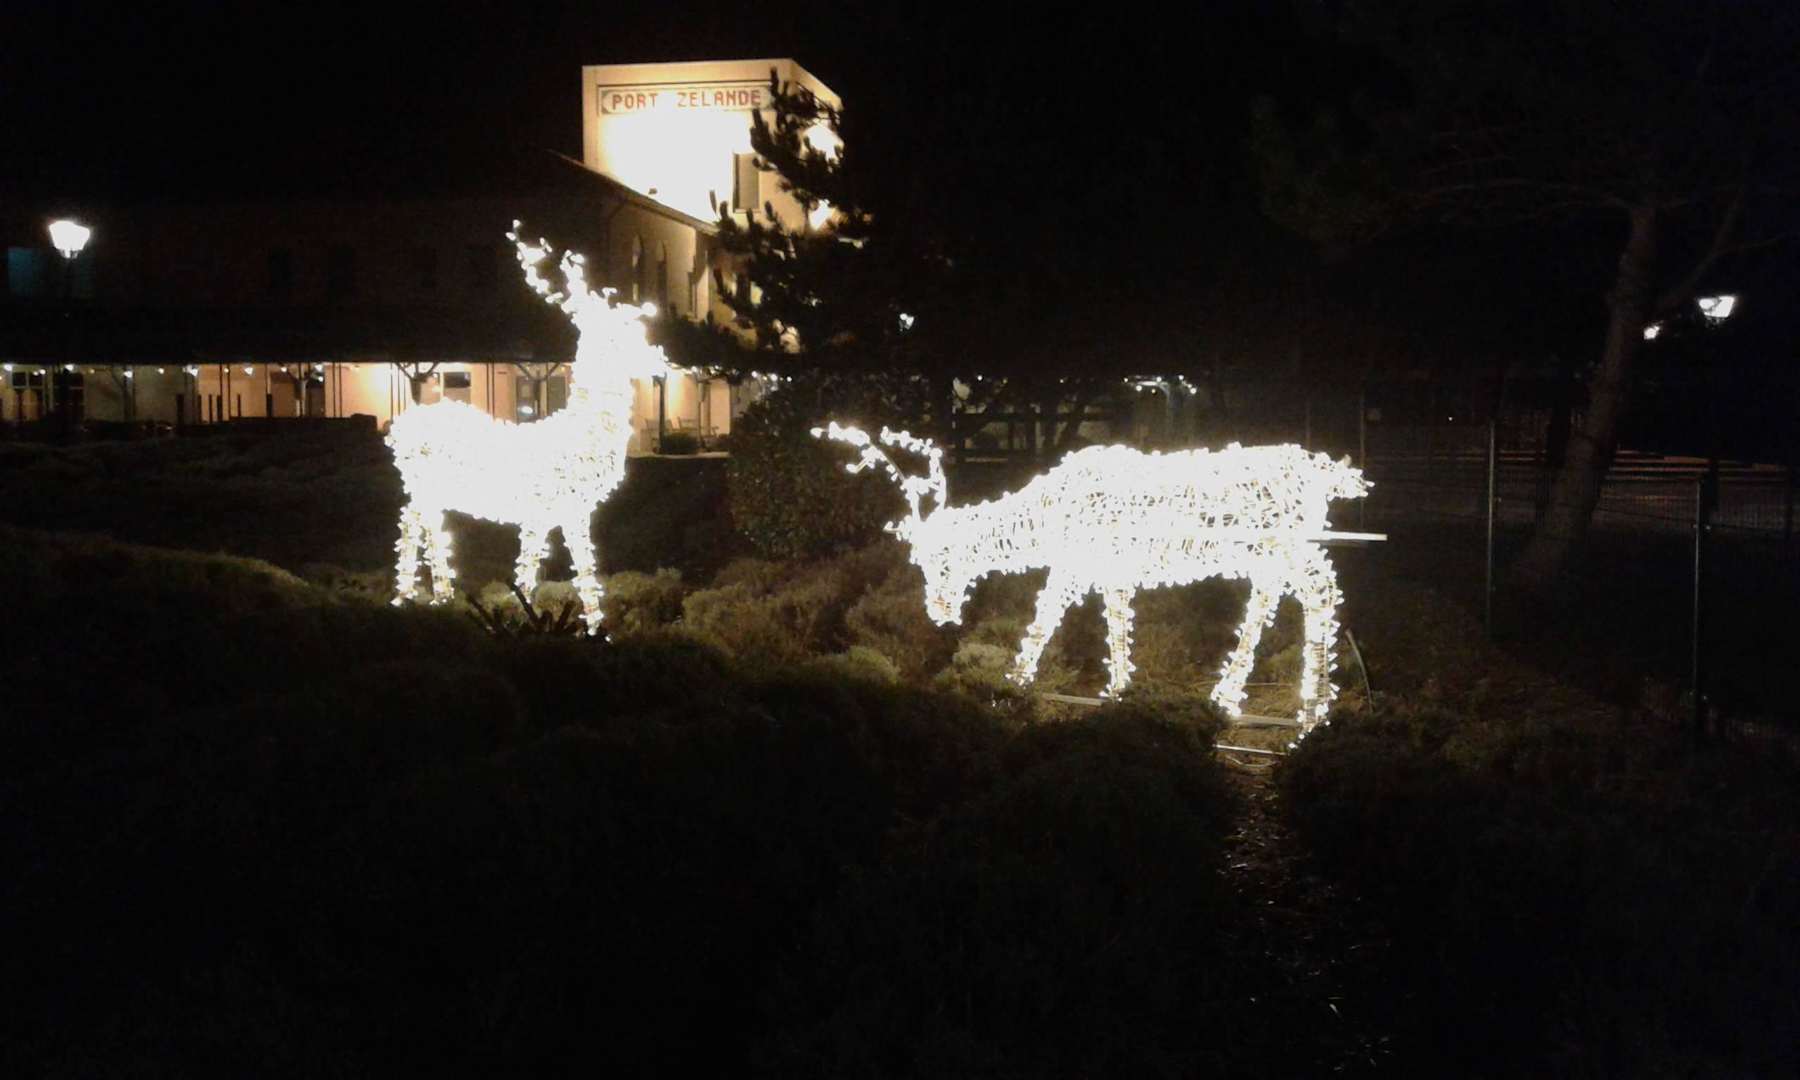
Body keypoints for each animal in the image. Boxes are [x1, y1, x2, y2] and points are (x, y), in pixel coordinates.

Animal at [387, 224, 673, 634]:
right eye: (623, 335)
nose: (661, 364)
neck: (584, 432)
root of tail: (396, 430)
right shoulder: (559, 508)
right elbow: (563, 567)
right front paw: (578, 625)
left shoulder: (553, 512)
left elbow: (550, 567)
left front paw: (542, 616)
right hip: (426, 484)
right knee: (422, 525)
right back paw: (433, 596)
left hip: (424, 487)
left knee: (413, 520)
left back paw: (415, 596)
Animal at [814, 423, 1374, 738]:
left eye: (938, 558)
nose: (940, 610)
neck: (1048, 511)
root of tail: (1324, 472)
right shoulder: (1110, 569)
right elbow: (1117, 626)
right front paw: (1120, 692)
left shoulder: (1074, 564)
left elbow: (1042, 623)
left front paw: (1007, 687)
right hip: (1268, 553)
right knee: (1272, 598)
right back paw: (1234, 694)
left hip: (1284, 547)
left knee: (1321, 586)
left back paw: (1311, 711)